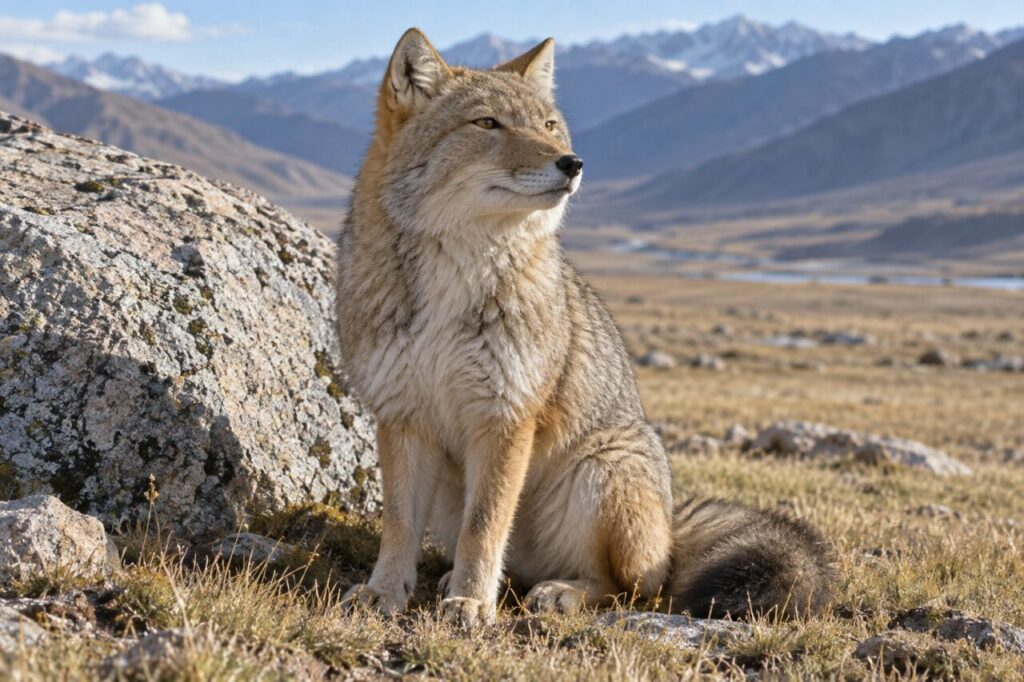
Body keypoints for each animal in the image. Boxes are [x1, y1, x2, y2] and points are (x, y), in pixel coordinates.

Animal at [335, 28, 836, 628]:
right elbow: (399, 525)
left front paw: (473, 603)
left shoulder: (506, 415)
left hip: (599, 473)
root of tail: (671, 526)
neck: (451, 278)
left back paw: (558, 592)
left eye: (550, 126)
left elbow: (486, 525)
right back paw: (467, 578)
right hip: (459, 497)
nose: (572, 163)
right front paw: (385, 592)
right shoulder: (404, 417)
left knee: (631, 587)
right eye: (488, 124)